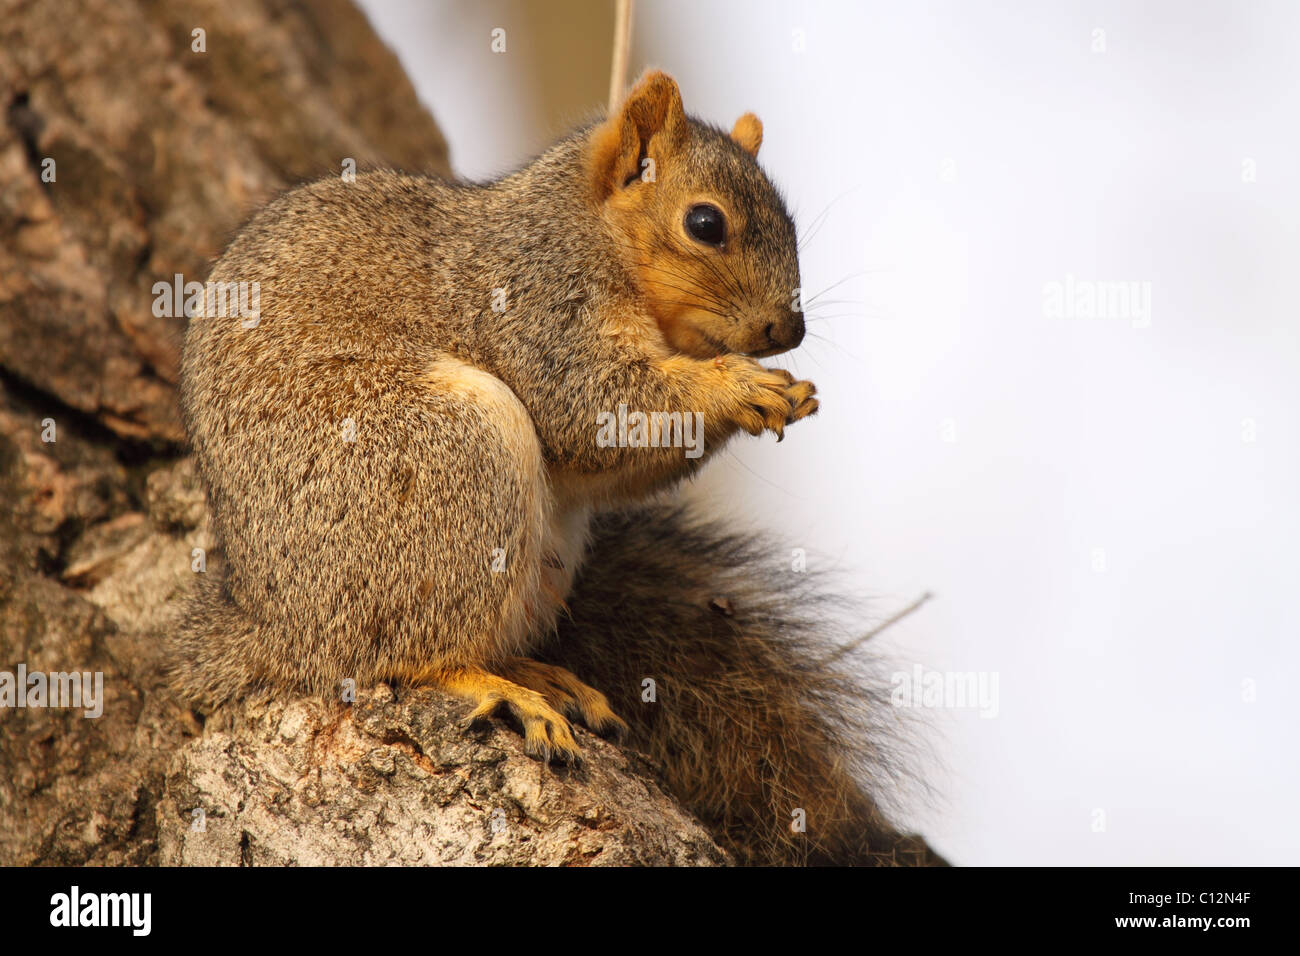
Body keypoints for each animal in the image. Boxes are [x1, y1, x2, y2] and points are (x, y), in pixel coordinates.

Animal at [175, 72, 946, 868]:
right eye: (705, 223)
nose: (788, 330)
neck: (590, 228)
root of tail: (275, 626)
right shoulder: (544, 306)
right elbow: (593, 407)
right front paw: (739, 387)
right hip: (443, 462)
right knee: (409, 653)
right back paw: (494, 684)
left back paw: (536, 672)